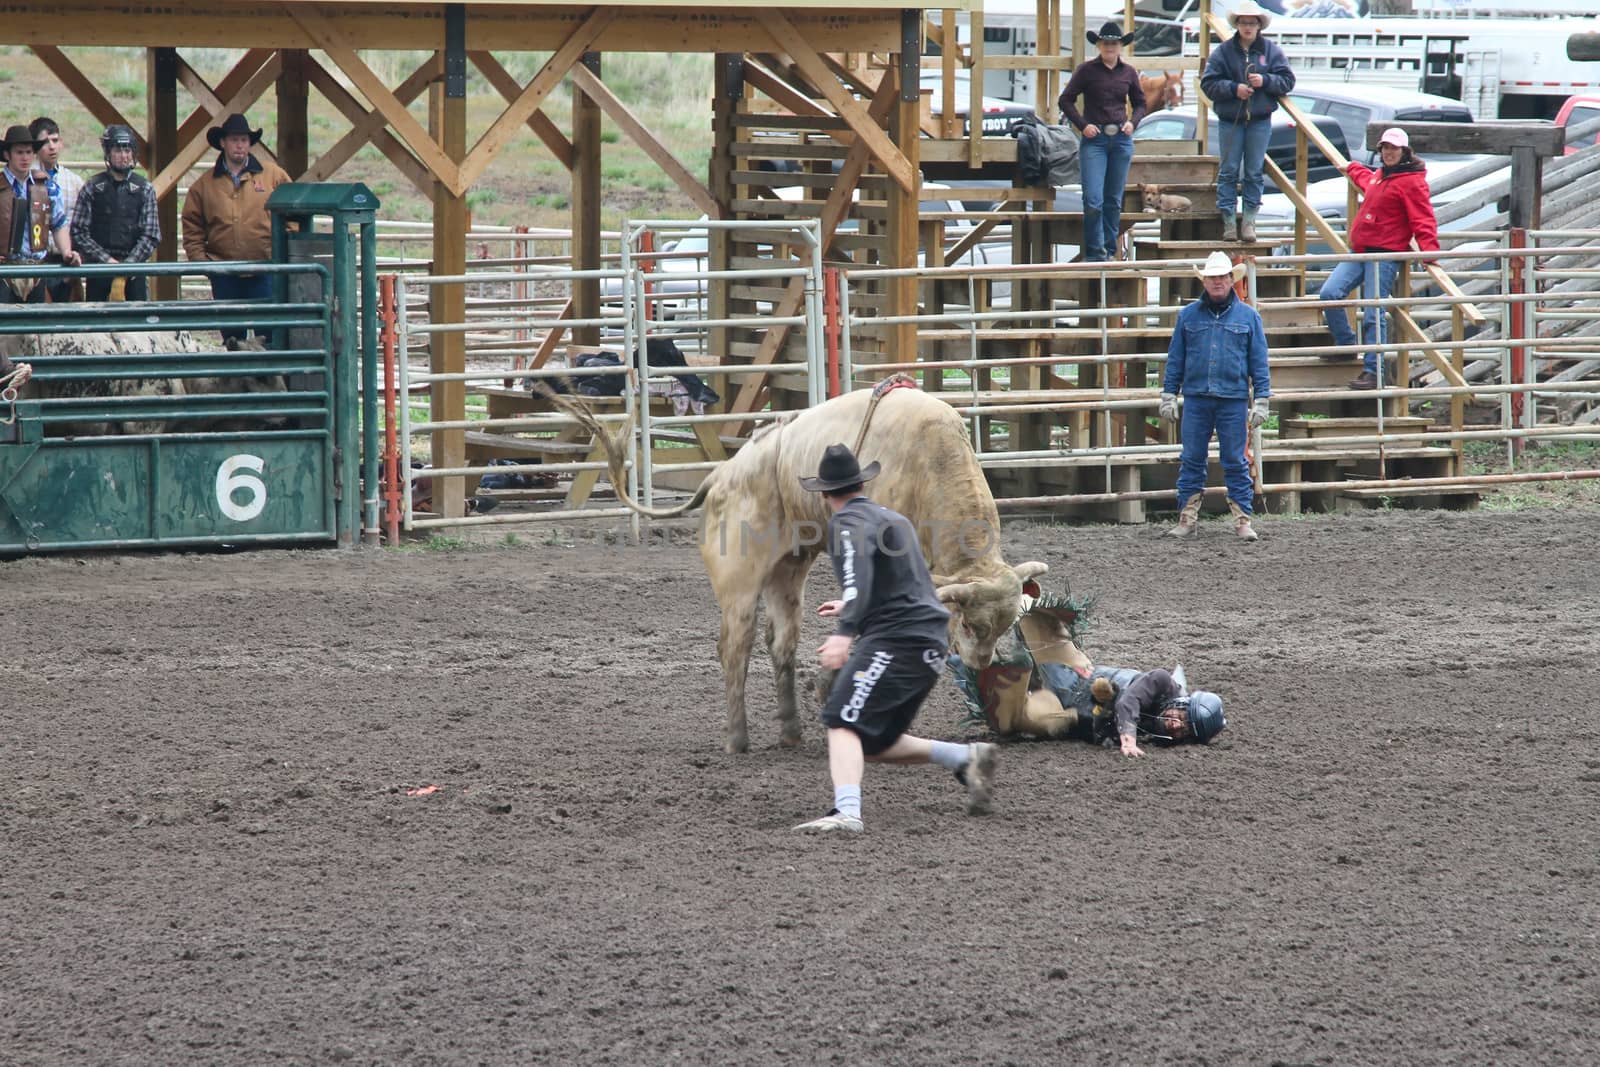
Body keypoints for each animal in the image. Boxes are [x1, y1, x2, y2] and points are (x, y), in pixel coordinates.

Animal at [563, 379, 1049, 755]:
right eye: (968, 624)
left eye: (1003, 627)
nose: (979, 665)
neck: (927, 462)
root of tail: (719, 476)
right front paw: (829, 685)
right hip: (738, 582)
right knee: (735, 647)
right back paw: (737, 739)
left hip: (787, 571)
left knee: (781, 643)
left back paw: (791, 732)